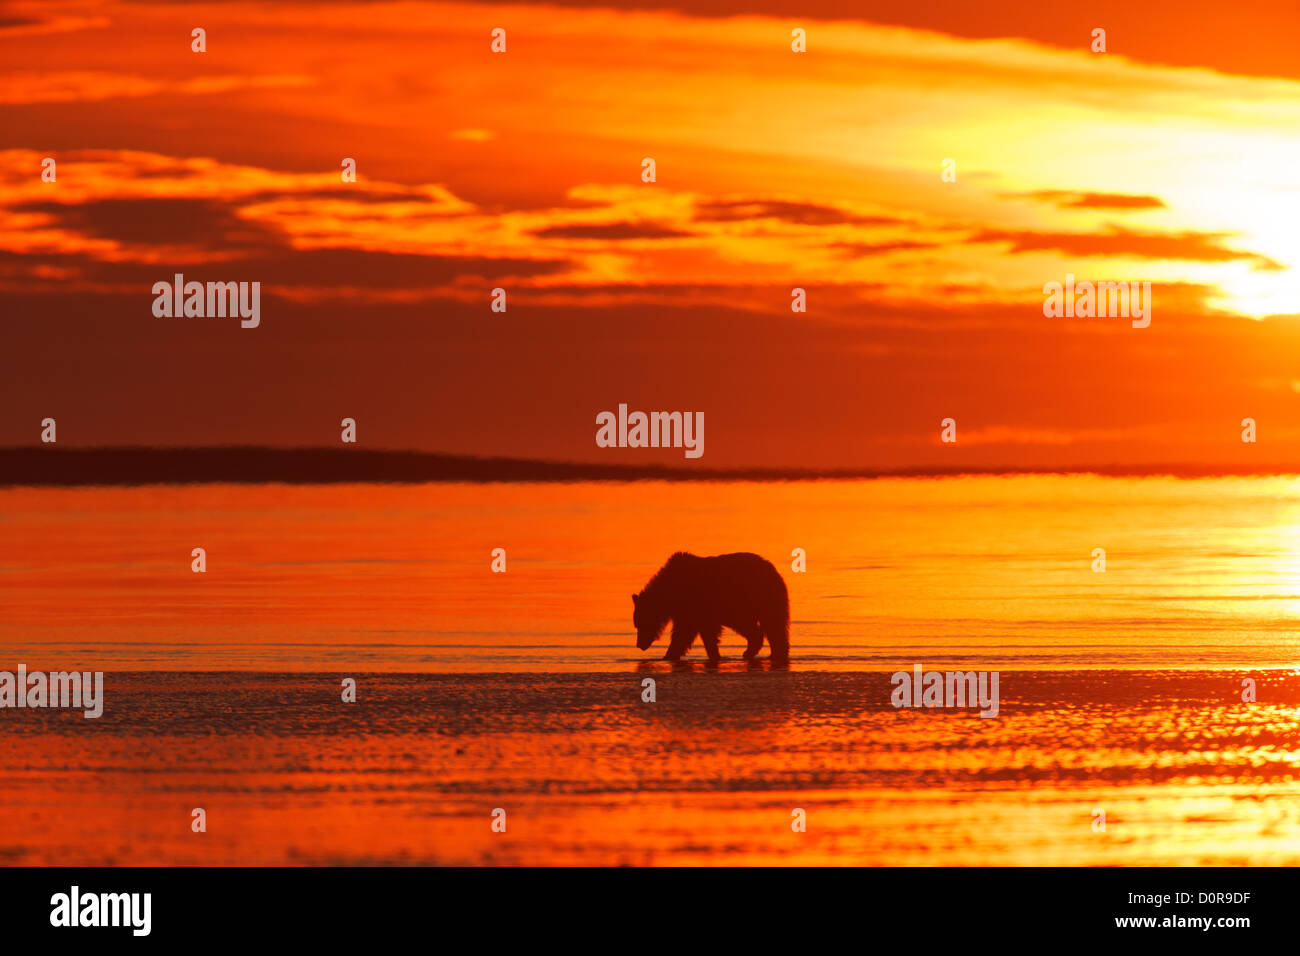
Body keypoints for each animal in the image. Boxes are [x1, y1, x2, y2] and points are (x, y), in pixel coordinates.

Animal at [631, 548, 790, 660]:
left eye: (640, 624)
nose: (639, 645)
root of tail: (773, 570)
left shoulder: (696, 603)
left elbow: (686, 632)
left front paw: (668, 655)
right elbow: (697, 631)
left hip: (754, 598)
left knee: (771, 624)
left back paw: (769, 652)